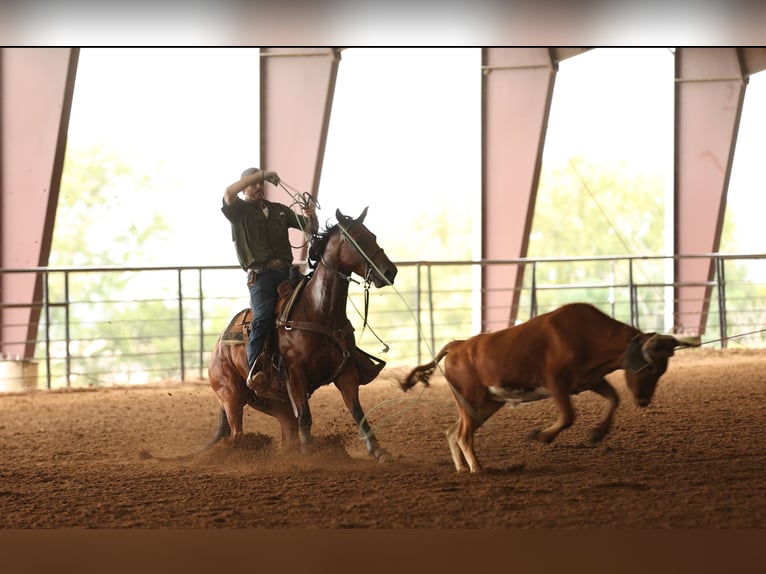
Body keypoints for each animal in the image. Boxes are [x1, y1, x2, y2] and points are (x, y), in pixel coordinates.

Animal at [207, 207, 398, 462]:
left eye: (372, 236)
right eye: (355, 240)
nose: (389, 271)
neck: (319, 311)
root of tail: (217, 347)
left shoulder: (347, 372)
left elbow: (358, 412)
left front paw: (378, 451)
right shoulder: (296, 375)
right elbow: (306, 418)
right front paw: (308, 456)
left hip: (271, 400)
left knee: (287, 428)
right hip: (232, 395)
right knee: (238, 434)